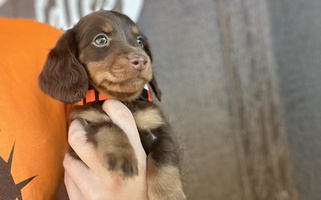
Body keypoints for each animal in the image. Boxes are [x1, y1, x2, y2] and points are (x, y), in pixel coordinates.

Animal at [39, 11, 185, 200]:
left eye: (139, 41)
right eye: (101, 40)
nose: (141, 61)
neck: (122, 100)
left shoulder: (158, 127)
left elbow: (164, 159)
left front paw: (169, 193)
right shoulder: (84, 125)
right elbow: (108, 125)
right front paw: (122, 154)